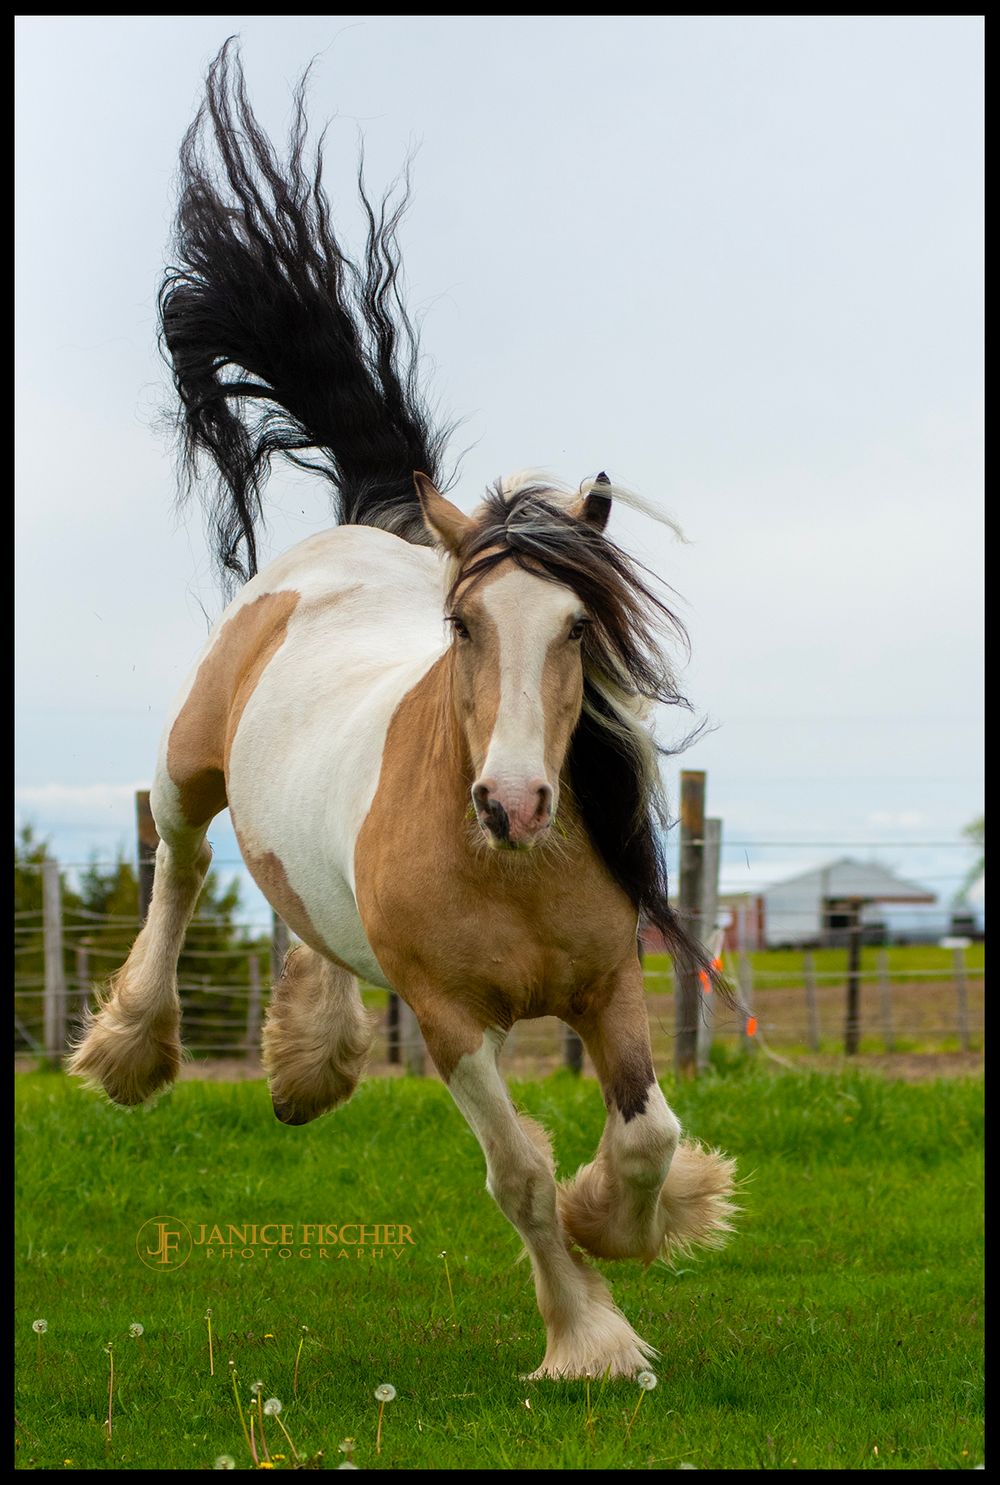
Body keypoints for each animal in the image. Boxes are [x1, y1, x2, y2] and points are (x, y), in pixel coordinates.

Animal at [68, 40, 737, 1381]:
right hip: (185, 760)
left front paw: (628, 1217)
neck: (511, 872)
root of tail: (370, 523)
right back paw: (134, 1049)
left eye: (579, 629)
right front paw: (589, 1336)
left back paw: (308, 1066)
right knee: (178, 859)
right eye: (464, 627)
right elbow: (517, 1174)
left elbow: (642, 1134)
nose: (516, 799)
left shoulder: (609, 988)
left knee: (303, 915)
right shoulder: (447, 1021)